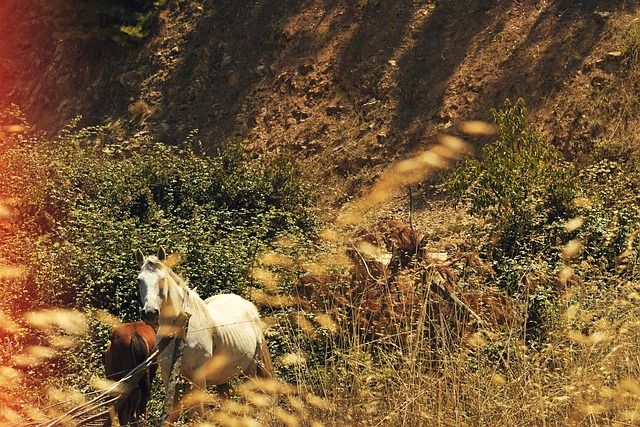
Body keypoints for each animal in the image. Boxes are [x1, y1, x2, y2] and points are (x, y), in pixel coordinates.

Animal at [135, 246, 276, 416]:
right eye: (139, 280)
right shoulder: (168, 374)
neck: (181, 327)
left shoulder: (198, 375)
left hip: (250, 370)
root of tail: (250, 308)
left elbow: (198, 411)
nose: (150, 313)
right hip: (224, 376)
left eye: (162, 278)